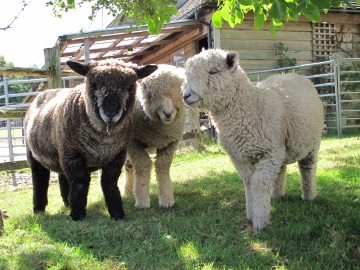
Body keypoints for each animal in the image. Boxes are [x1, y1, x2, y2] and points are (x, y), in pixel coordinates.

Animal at [23, 59, 156, 221]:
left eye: (130, 86)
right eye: (93, 84)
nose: (110, 113)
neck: (104, 141)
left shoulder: (117, 155)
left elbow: (109, 182)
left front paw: (117, 213)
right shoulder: (73, 155)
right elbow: (80, 182)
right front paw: (78, 215)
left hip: (61, 152)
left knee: (62, 176)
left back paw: (67, 202)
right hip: (35, 154)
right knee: (40, 179)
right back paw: (39, 209)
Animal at [123, 64, 186, 208]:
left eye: (180, 92)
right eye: (150, 94)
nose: (168, 113)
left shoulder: (171, 142)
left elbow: (162, 165)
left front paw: (167, 199)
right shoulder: (134, 142)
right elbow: (142, 166)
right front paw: (142, 201)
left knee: (129, 166)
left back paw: (128, 192)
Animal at [183, 49, 324, 230]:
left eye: (213, 72)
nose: (186, 95)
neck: (251, 107)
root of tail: (293, 74)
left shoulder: (269, 153)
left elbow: (259, 183)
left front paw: (260, 221)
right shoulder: (239, 157)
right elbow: (249, 182)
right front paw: (251, 214)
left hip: (311, 145)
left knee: (307, 169)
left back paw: (308, 195)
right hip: (281, 150)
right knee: (280, 170)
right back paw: (277, 195)